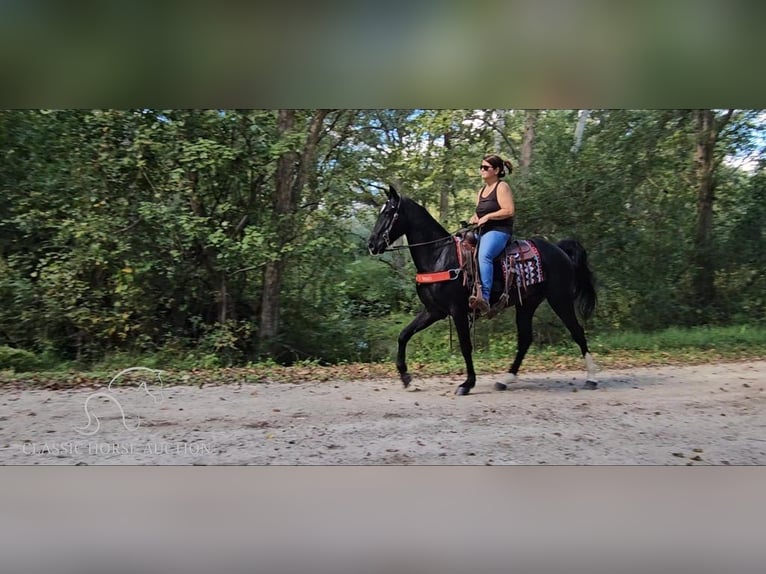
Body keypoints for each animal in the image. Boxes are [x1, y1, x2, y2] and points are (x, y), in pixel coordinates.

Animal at [370, 187, 600, 398]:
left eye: (389, 212)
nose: (372, 244)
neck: (439, 256)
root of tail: (559, 249)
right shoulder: (434, 311)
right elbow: (403, 335)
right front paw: (406, 378)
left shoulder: (457, 311)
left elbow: (465, 346)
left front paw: (467, 384)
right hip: (527, 303)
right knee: (525, 339)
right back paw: (505, 379)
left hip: (559, 299)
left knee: (577, 332)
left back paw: (591, 378)